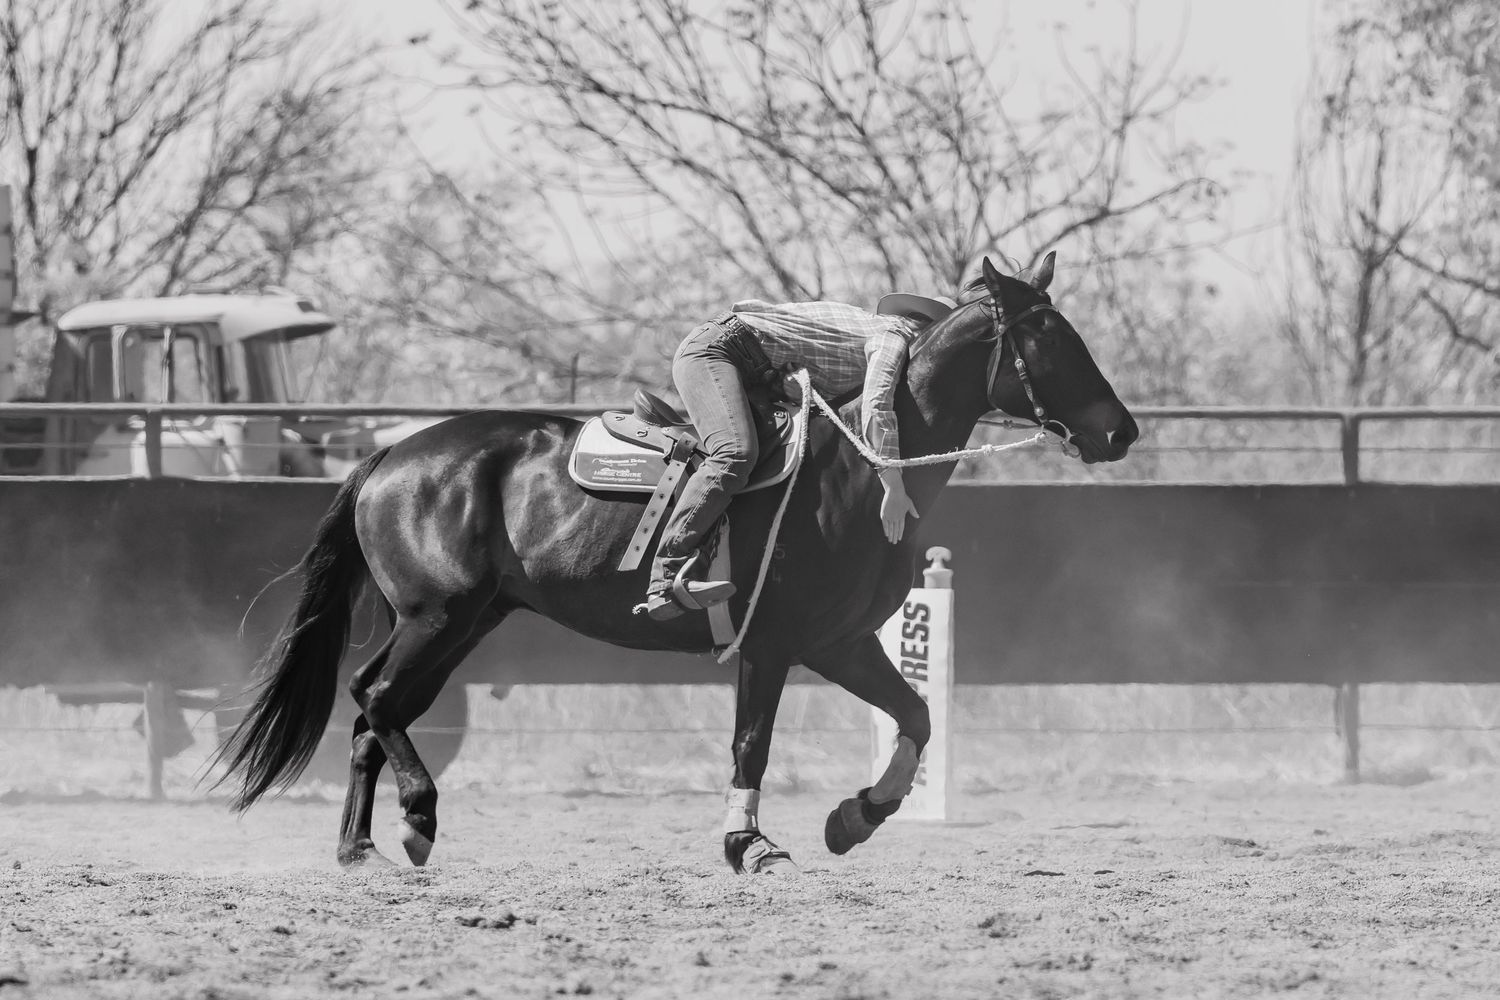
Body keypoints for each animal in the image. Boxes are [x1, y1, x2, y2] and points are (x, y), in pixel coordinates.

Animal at [214, 254, 1138, 873]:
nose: (1121, 430)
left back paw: (362, 847)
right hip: (437, 616)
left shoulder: (840, 643)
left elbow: (916, 715)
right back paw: (415, 819)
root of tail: (390, 456)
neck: (846, 470)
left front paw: (854, 819)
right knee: (373, 697)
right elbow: (751, 745)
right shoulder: (771, 644)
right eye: (1052, 337)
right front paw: (749, 845)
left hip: (460, 625)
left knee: (375, 712)